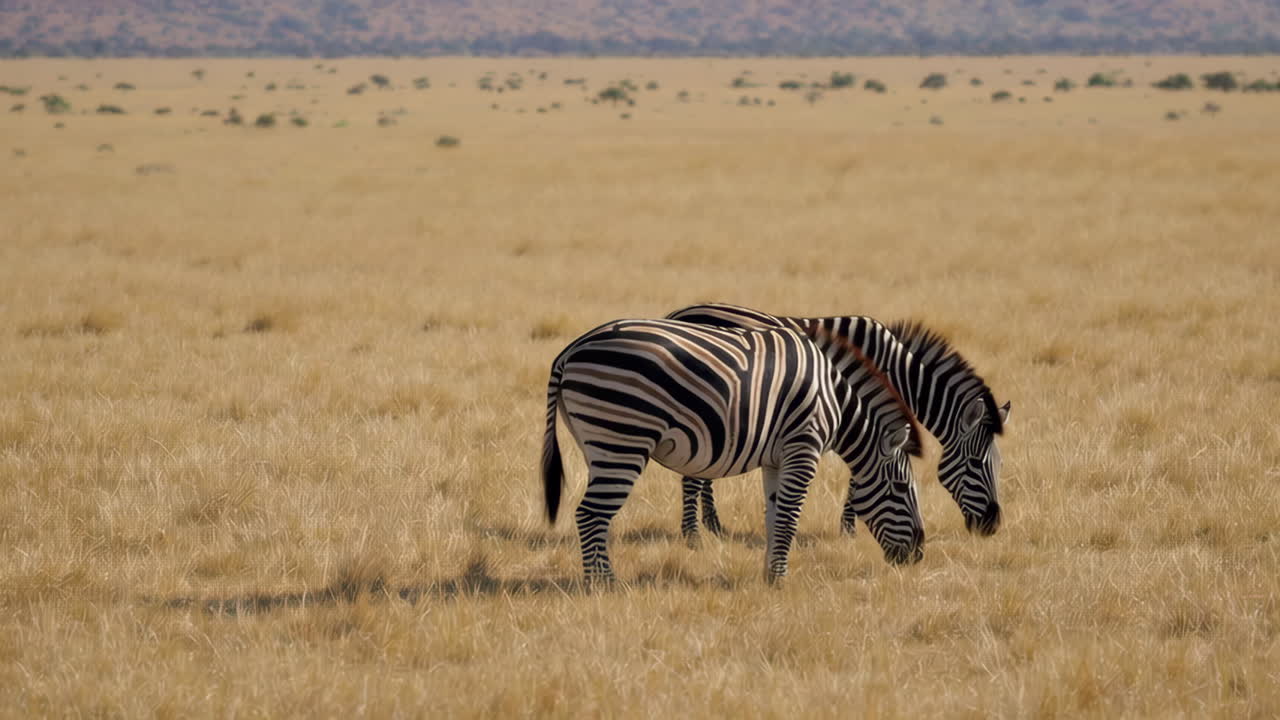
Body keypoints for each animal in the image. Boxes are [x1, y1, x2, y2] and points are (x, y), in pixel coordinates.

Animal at [541, 318, 926, 583]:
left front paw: (770, 574)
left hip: (598, 446)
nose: (919, 554)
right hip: (623, 441)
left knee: (593, 514)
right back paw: (604, 584)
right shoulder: (804, 446)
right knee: (590, 514)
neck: (836, 401)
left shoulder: (776, 458)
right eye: (902, 488)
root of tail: (570, 351)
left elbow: (774, 515)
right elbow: (790, 516)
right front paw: (781, 580)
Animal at [665, 303, 1009, 540]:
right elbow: (861, 474)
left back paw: (713, 526)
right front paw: (849, 528)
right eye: (975, 463)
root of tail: (679, 314)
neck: (897, 374)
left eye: (999, 464)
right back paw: (696, 533)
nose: (991, 526)